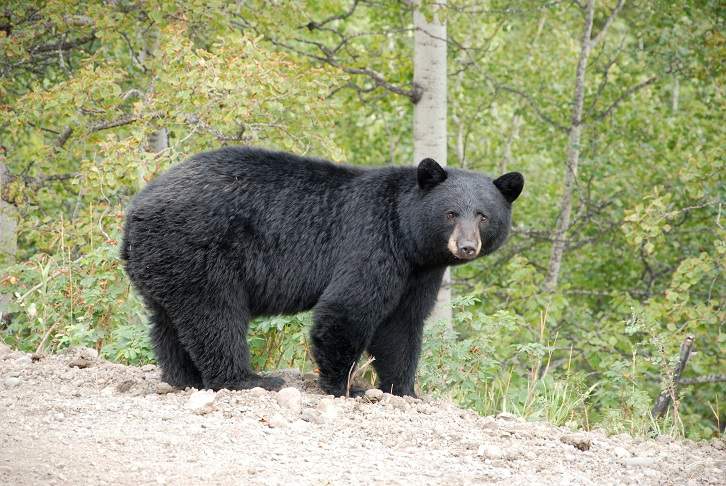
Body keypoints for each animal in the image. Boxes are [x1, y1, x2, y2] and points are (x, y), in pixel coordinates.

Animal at [121, 147, 523, 397]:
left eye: (483, 216)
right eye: (451, 213)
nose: (466, 246)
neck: (408, 236)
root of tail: (135, 210)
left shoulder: (419, 272)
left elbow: (402, 325)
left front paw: (403, 389)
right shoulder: (372, 241)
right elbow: (348, 308)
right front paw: (345, 386)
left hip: (164, 261)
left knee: (168, 321)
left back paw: (183, 377)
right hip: (199, 250)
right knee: (215, 315)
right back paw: (247, 379)